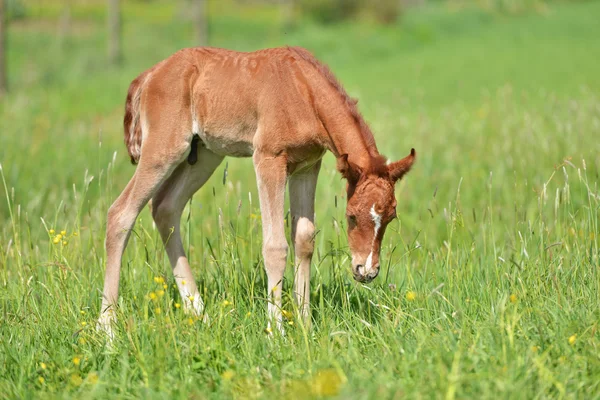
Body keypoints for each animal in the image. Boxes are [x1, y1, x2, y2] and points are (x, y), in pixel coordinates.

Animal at [99, 45, 418, 336]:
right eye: (351, 216)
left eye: (390, 218)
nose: (367, 271)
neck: (303, 90)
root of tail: (149, 75)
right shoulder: (268, 158)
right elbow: (275, 246)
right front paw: (276, 330)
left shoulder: (307, 166)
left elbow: (304, 239)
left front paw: (305, 325)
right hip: (165, 148)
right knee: (121, 212)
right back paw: (107, 328)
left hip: (204, 155)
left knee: (165, 208)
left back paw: (198, 313)